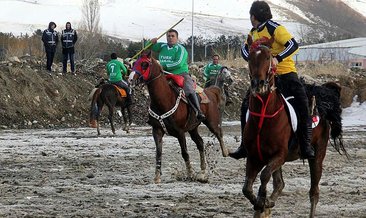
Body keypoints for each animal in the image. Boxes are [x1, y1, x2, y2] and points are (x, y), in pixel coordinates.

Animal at [130, 55, 229, 184]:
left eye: (144, 64)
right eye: (134, 63)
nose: (130, 79)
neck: (165, 99)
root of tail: (210, 92)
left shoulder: (180, 132)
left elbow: (185, 153)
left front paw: (190, 173)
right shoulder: (157, 130)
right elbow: (158, 153)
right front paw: (157, 176)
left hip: (211, 121)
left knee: (218, 133)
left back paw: (225, 152)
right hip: (193, 128)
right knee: (200, 143)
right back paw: (202, 172)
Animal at [242, 36, 348, 217]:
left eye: (268, 57)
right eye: (249, 58)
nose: (258, 84)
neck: (265, 115)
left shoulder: (280, 155)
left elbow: (264, 176)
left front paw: (262, 201)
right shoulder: (254, 157)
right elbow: (247, 188)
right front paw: (262, 203)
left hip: (318, 154)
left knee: (314, 192)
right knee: (280, 183)